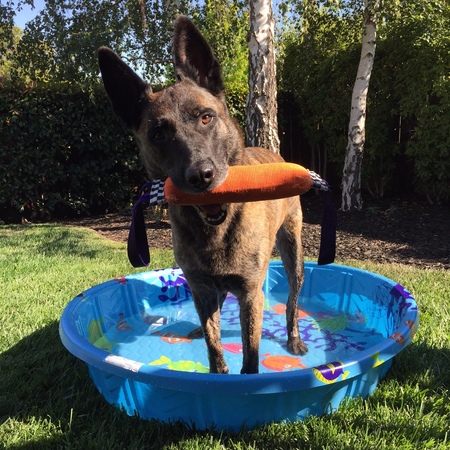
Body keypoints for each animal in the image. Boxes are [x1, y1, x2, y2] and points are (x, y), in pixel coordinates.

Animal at [99, 15, 308, 374]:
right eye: (159, 134)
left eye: (206, 117)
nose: (201, 176)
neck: (216, 230)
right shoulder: (199, 285)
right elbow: (214, 345)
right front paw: (215, 371)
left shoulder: (251, 293)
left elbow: (250, 355)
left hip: (293, 254)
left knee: (293, 302)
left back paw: (294, 339)